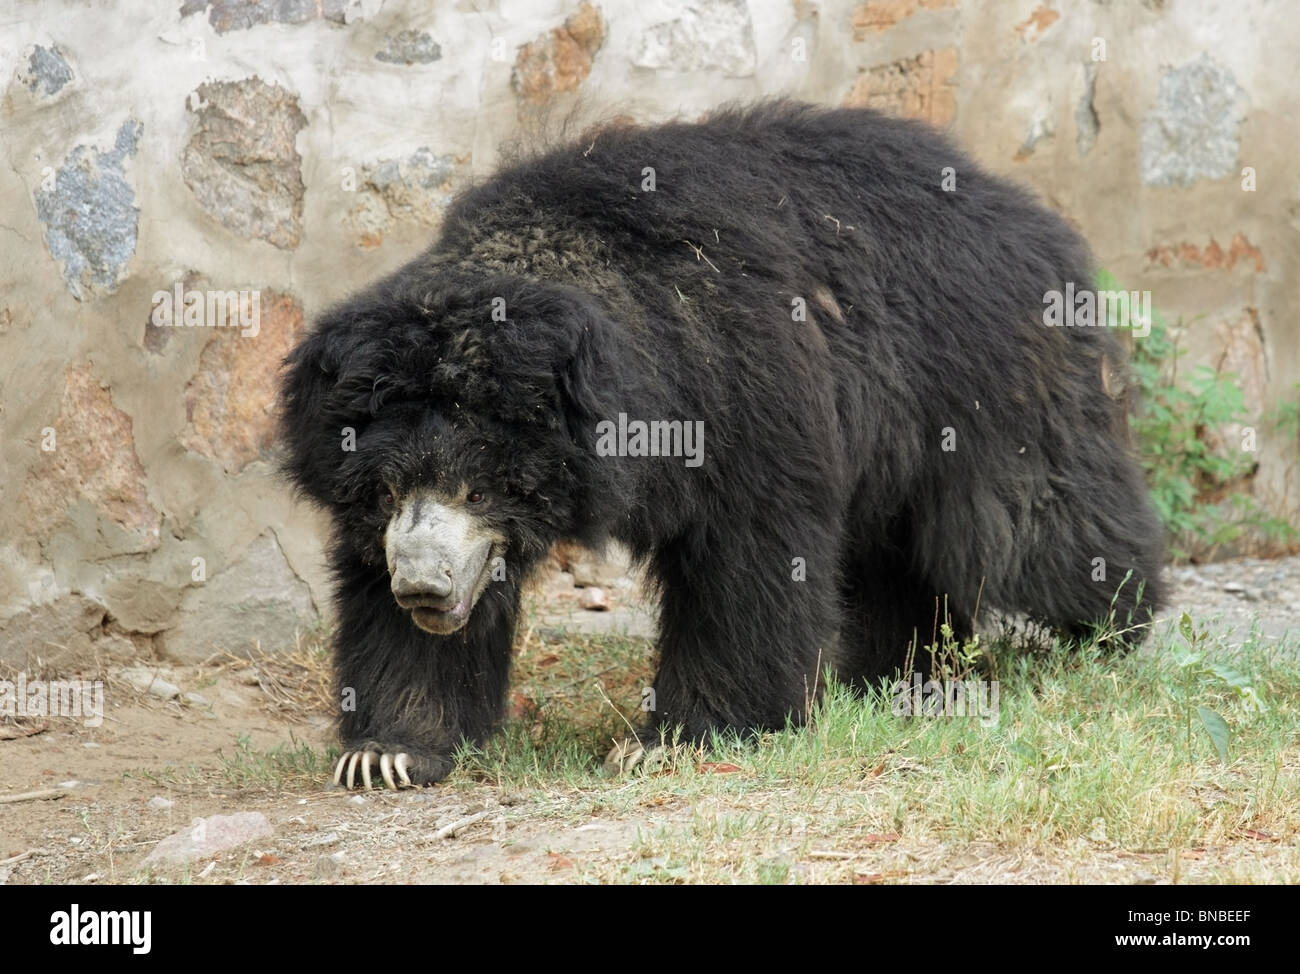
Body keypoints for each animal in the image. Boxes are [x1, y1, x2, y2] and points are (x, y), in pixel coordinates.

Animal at [279, 100, 1164, 790]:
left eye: (479, 487)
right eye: (390, 489)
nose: (424, 591)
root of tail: (1018, 204)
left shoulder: (743, 386)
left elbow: (749, 558)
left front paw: (672, 741)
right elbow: (385, 608)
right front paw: (389, 752)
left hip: (984, 376)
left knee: (1037, 522)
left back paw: (1107, 628)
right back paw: (895, 673)